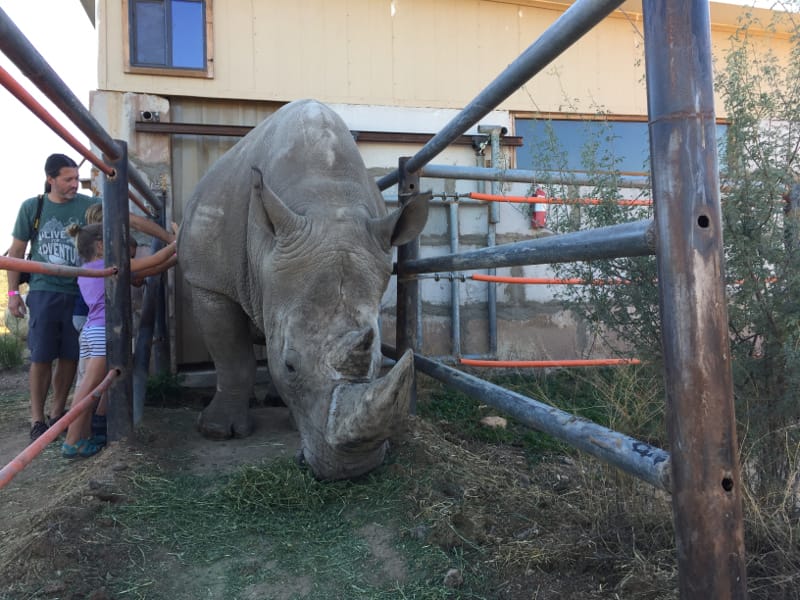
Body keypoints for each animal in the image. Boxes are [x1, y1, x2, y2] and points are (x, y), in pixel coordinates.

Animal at [180, 101, 432, 480]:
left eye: (378, 364)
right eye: (290, 366)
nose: (351, 469)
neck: (327, 199)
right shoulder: (209, 282)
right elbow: (231, 356)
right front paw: (216, 433)